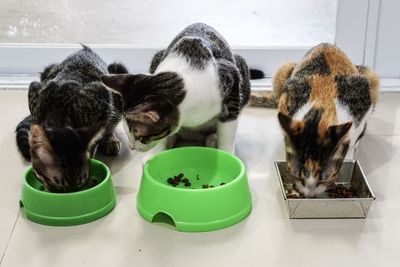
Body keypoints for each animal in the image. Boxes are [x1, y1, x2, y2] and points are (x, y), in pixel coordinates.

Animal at [15, 45, 126, 193]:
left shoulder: (102, 96)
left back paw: (110, 140)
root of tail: (84, 49)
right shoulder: (34, 89)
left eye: (80, 184)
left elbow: (100, 131)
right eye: (57, 186)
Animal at [103, 22, 252, 159]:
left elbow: (228, 130)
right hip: (157, 56)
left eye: (140, 136)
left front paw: (226, 155)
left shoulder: (231, 81)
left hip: (241, 67)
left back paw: (213, 139)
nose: (131, 147)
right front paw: (154, 156)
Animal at [250, 44, 378, 198]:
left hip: (370, 77)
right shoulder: (286, 99)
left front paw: (349, 155)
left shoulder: (362, 109)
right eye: (297, 176)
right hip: (283, 70)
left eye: (325, 179)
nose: (308, 195)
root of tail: (327, 44)